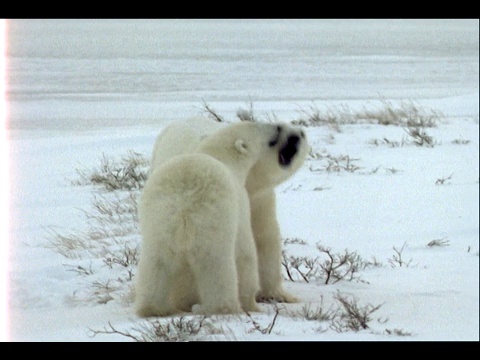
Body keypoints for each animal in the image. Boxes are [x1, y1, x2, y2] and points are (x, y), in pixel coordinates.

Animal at [135, 121, 308, 316]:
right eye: (274, 134)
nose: (295, 136)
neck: (217, 154)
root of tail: (183, 209)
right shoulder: (240, 201)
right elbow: (247, 250)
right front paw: (252, 303)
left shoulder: (261, 199)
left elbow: (266, 238)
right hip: (211, 230)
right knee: (217, 267)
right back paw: (223, 307)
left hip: (159, 227)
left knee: (156, 265)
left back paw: (153, 308)